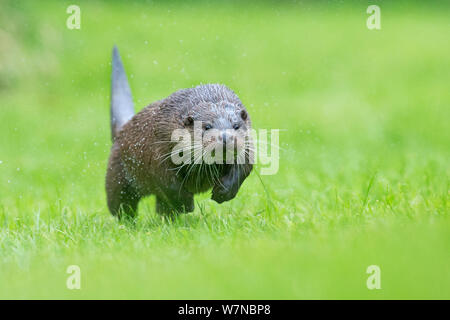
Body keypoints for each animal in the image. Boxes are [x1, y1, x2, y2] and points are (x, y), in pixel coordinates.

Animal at [106, 47, 253, 218]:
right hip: (117, 174)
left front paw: (222, 192)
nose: (225, 137)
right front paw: (186, 205)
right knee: (120, 205)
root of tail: (122, 128)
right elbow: (168, 182)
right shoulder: (158, 150)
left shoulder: (249, 147)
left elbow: (242, 170)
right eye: (207, 127)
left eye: (236, 126)